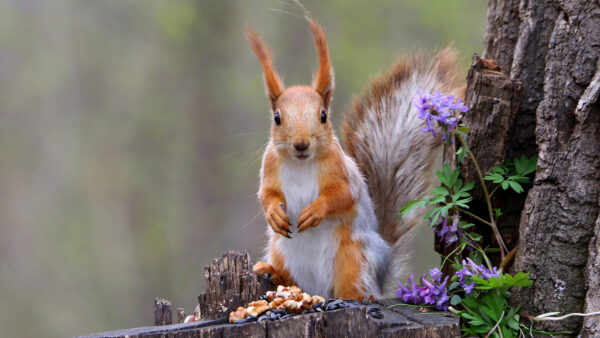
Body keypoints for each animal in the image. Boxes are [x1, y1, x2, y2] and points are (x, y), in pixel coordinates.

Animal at [246, 19, 462, 300]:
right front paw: (274, 213)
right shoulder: (271, 166)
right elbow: (267, 194)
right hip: (281, 251)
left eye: (324, 115)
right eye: (277, 118)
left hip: (355, 257)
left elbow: (342, 195)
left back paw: (360, 297)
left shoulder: (341, 171)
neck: (301, 164)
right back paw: (273, 273)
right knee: (290, 278)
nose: (301, 143)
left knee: (354, 286)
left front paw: (316, 210)